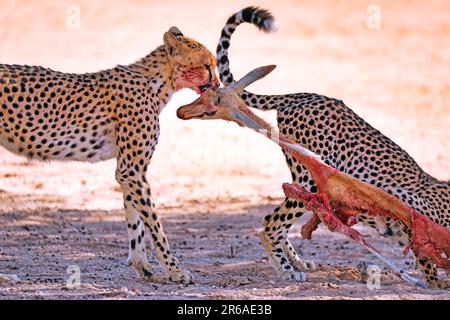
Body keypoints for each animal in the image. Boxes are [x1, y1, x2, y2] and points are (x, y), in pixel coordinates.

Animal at [0, 26, 218, 282]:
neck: (157, 81)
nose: (217, 84)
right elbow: (154, 225)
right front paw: (175, 270)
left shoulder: (130, 170)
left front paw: (143, 267)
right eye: (206, 65)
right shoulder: (131, 170)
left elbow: (135, 222)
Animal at [180, 7, 450, 288]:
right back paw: (287, 270)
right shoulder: (410, 205)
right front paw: (435, 282)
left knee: (271, 218)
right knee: (272, 225)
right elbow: (423, 252)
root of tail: (306, 96)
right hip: (311, 179)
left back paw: (296, 262)